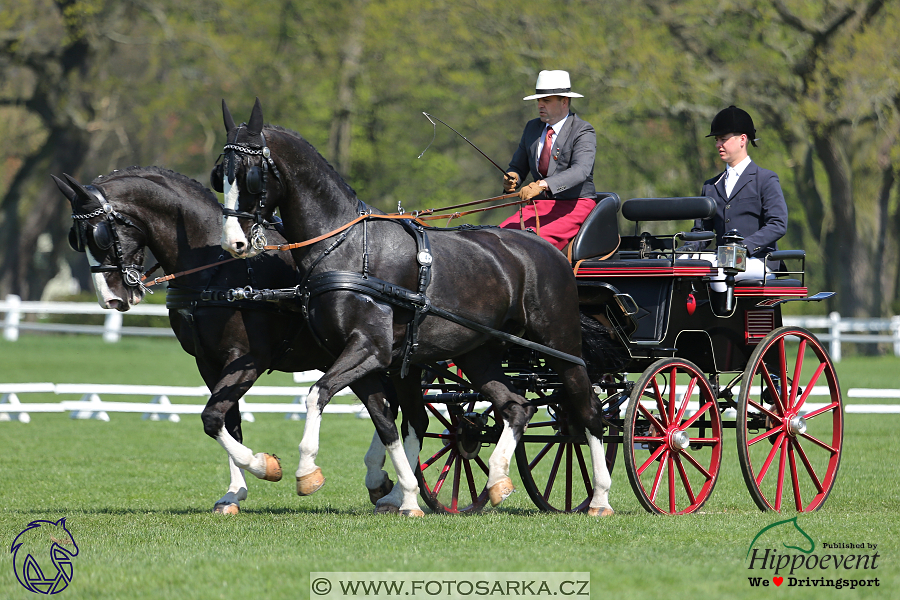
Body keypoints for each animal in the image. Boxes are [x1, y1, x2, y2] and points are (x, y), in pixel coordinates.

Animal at [53, 168, 394, 510]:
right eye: (74, 239)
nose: (109, 300)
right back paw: (382, 481)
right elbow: (227, 421)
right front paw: (234, 492)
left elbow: (212, 417)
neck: (216, 269)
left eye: (99, 235)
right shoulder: (208, 362)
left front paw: (263, 465)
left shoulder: (248, 360)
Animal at [214, 98, 616, 516]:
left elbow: (317, 395)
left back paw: (600, 497)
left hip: (560, 346)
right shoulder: (365, 358)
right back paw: (498, 479)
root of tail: (548, 249)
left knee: (588, 412)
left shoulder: (368, 349)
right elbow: (388, 421)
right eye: (218, 175)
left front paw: (307, 471)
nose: (233, 242)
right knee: (517, 406)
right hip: (478, 352)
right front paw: (405, 495)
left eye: (251, 176)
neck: (348, 246)